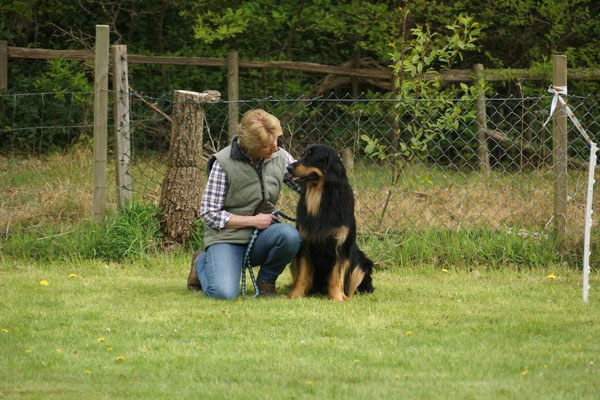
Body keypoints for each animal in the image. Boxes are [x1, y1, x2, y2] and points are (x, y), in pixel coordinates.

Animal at [288, 144, 376, 300]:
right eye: (303, 154)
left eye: (311, 156)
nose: (289, 168)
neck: (321, 196)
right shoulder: (305, 244)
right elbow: (302, 275)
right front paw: (295, 295)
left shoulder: (340, 245)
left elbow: (337, 275)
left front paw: (337, 298)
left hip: (361, 262)